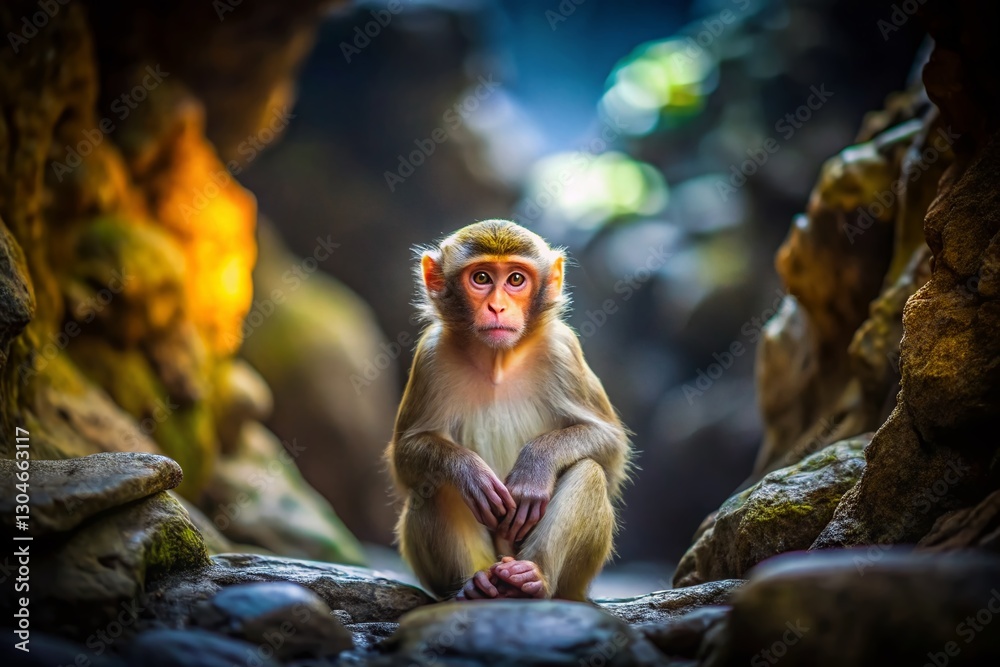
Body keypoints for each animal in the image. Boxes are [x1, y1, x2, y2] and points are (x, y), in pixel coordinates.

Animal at [386, 219, 631, 602]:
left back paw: (531, 579)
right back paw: (475, 585)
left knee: (588, 471)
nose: (497, 308)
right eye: (481, 278)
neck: (498, 360)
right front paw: (468, 470)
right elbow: (406, 455)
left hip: (573, 583)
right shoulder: (430, 355)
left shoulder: (563, 350)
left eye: (516, 279)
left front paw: (535, 468)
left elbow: (610, 444)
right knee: (432, 482)